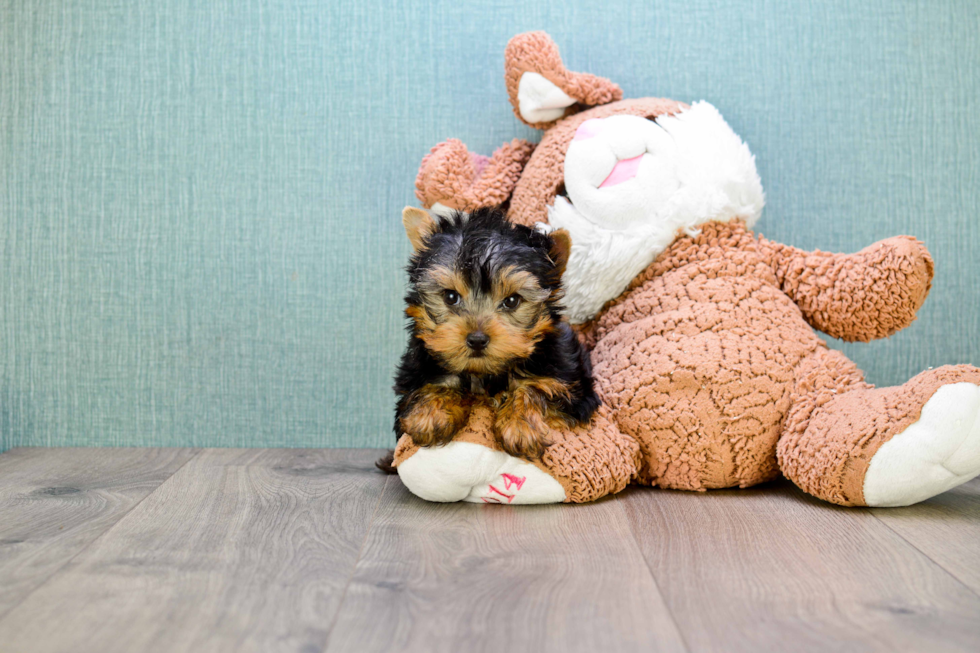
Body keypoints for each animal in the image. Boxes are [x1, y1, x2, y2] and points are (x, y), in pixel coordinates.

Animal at [390, 205, 596, 458]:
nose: (477, 339)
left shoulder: (575, 390)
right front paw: (432, 414)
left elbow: (536, 388)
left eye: (512, 301)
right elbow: (436, 383)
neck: (484, 373)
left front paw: (520, 425)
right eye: (450, 296)